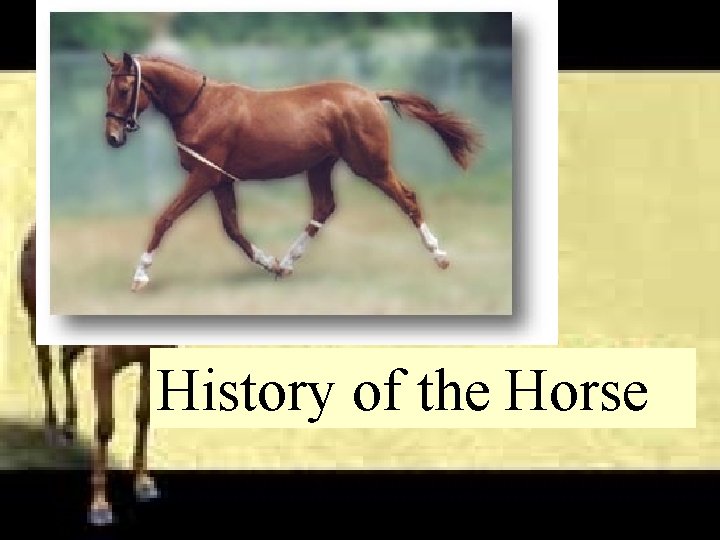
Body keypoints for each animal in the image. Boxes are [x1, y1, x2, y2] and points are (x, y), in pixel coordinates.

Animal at [19, 225, 168, 525]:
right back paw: (52, 429)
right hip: (35, 319)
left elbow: (143, 414)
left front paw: (144, 484)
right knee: (45, 366)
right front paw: (100, 507)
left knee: (65, 360)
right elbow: (105, 427)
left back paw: (69, 427)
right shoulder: (103, 363)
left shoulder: (147, 359)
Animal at [102, 52, 482, 292]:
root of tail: (371, 96)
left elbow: (165, 218)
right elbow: (232, 229)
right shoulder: (219, 180)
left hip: (370, 165)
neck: (200, 107)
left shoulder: (204, 177)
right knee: (324, 207)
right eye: (107, 88)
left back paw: (440, 256)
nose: (112, 137)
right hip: (320, 166)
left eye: (124, 89)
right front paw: (268, 262)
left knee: (408, 199)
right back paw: (286, 262)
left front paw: (140, 276)